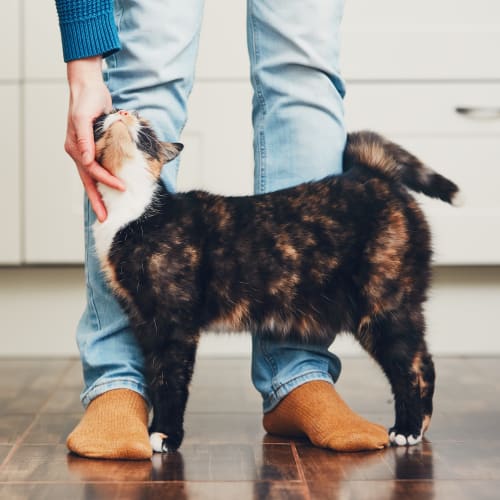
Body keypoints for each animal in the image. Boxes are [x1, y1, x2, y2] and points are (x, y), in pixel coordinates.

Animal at [92, 109, 458, 454]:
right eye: (104, 116)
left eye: (145, 127)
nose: (122, 112)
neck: (132, 212)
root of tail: (371, 173)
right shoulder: (145, 322)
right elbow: (156, 377)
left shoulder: (174, 323)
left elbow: (172, 381)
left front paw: (166, 435)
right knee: (421, 362)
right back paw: (418, 426)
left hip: (384, 306)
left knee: (411, 366)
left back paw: (407, 429)